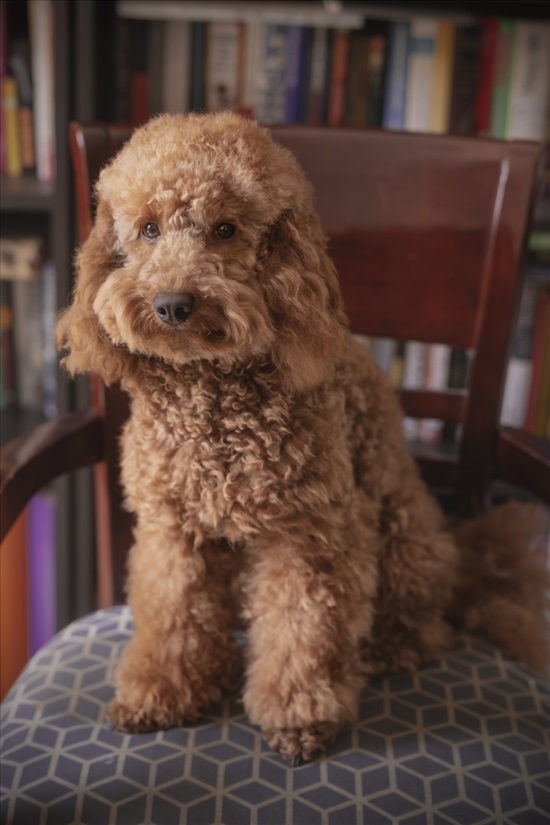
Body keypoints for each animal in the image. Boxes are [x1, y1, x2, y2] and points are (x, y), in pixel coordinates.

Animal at [57, 112, 550, 764]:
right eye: (148, 230)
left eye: (225, 230)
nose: (172, 304)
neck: (214, 406)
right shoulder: (174, 532)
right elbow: (173, 617)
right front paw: (161, 693)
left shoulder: (309, 536)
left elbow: (303, 630)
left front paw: (299, 716)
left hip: (401, 534)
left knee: (423, 621)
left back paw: (389, 648)